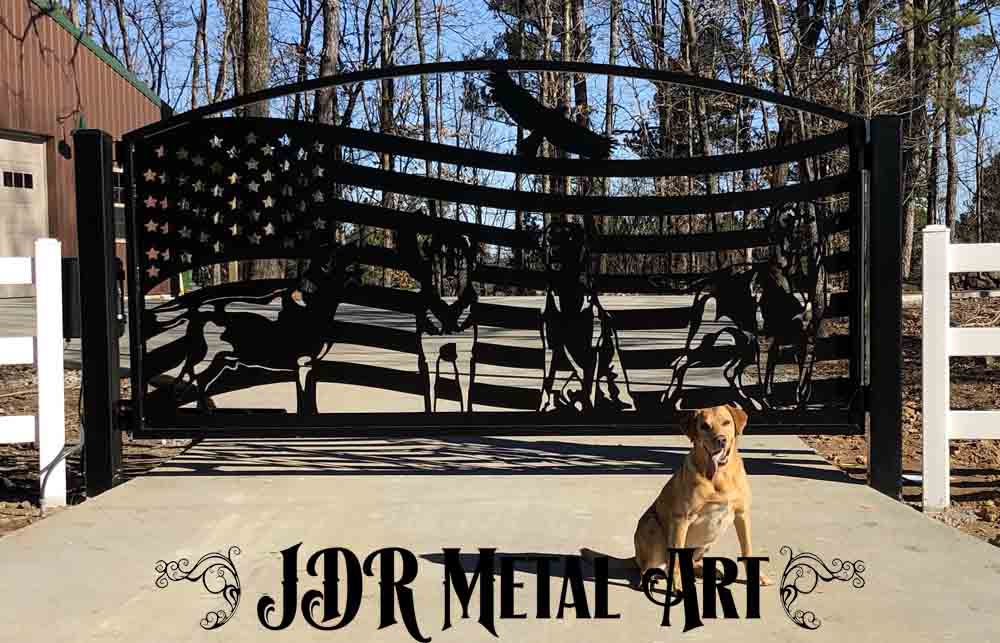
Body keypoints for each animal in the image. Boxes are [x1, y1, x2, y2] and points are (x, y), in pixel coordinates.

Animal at [636, 408, 768, 592]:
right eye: (705, 426)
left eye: (726, 422)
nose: (721, 440)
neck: (720, 475)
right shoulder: (681, 519)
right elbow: (677, 560)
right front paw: (679, 586)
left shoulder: (742, 514)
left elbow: (747, 549)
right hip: (651, 526)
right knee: (652, 567)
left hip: (709, 539)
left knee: (689, 562)